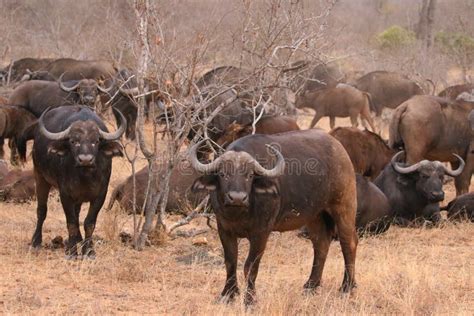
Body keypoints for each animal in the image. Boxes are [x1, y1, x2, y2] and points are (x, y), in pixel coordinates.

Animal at [18, 105, 126, 258]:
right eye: (74, 141)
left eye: (96, 141)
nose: (85, 159)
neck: (85, 176)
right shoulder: (65, 195)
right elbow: (72, 223)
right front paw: (72, 252)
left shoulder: (100, 195)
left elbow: (89, 223)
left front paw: (89, 251)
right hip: (40, 177)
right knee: (41, 210)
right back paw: (36, 241)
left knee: (77, 212)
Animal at [189, 130, 356, 304]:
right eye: (223, 174)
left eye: (249, 175)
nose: (237, 198)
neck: (238, 213)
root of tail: (340, 149)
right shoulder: (224, 229)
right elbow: (230, 261)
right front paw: (228, 294)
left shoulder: (261, 233)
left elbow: (250, 266)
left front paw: (250, 299)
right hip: (315, 216)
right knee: (321, 244)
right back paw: (311, 286)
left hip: (344, 206)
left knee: (348, 243)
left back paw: (347, 287)